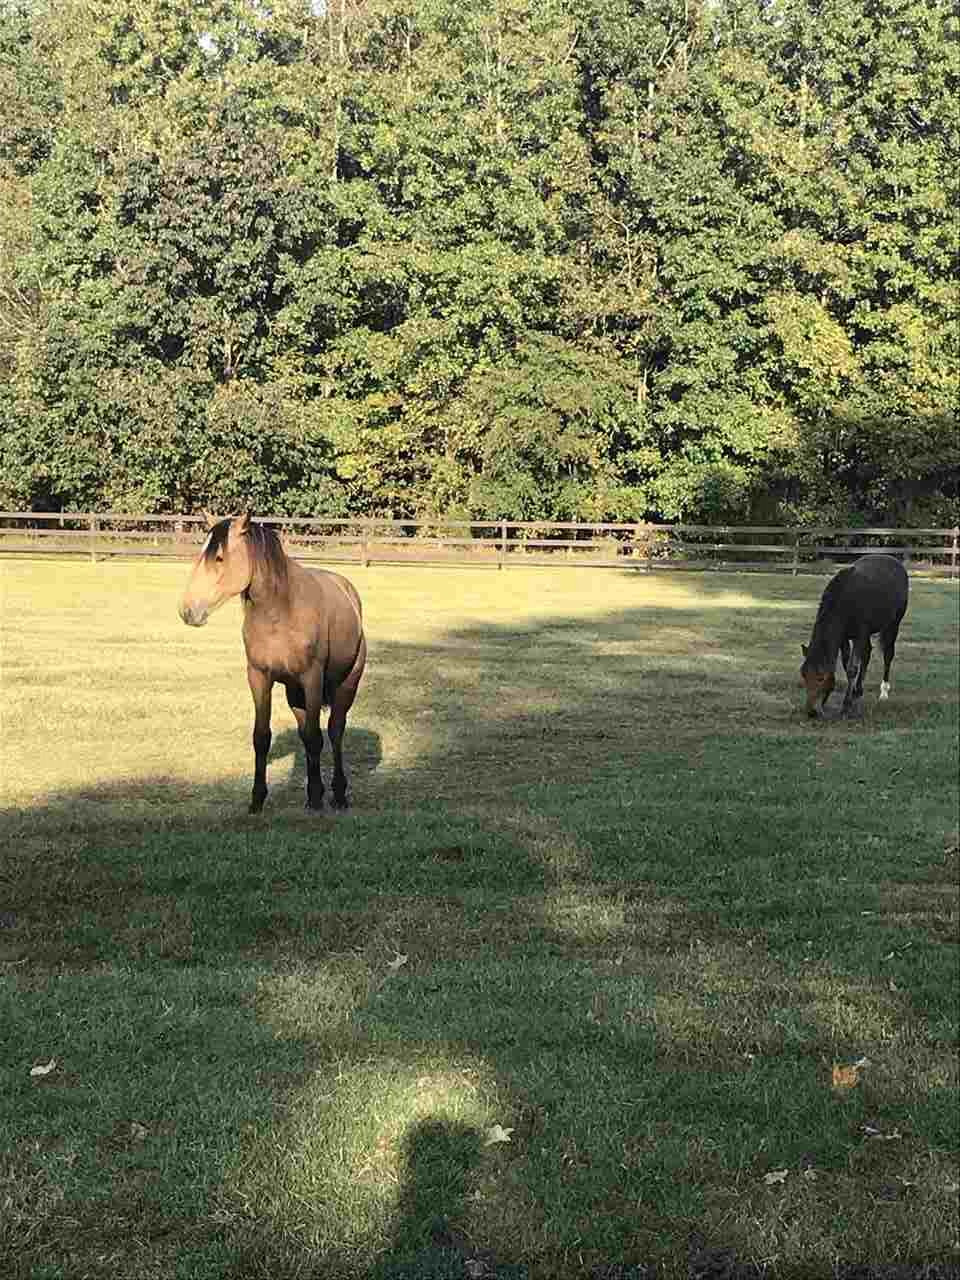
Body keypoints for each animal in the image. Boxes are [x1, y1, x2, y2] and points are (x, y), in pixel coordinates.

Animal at [179, 513, 366, 814]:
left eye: (219, 557)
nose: (188, 611)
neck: (280, 612)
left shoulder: (312, 679)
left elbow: (317, 736)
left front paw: (316, 797)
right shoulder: (259, 677)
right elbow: (262, 737)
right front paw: (257, 798)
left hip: (346, 684)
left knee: (335, 731)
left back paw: (338, 794)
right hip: (295, 694)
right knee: (307, 733)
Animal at [800, 553, 908, 719]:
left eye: (821, 678)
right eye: (804, 675)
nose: (811, 712)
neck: (845, 601)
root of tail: (895, 561)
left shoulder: (860, 634)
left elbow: (852, 668)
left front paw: (846, 706)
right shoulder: (844, 637)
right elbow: (847, 665)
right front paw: (852, 696)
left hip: (893, 624)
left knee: (888, 655)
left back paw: (883, 692)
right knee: (867, 653)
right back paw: (858, 691)